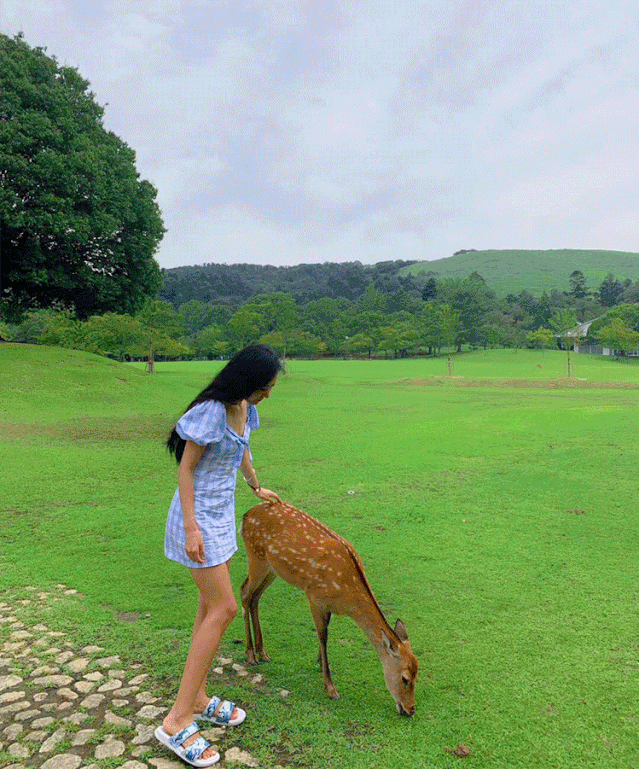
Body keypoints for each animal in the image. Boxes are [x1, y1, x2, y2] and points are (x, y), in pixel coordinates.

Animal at [240, 500, 420, 712]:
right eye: (405, 678)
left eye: (418, 673)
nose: (410, 709)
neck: (347, 600)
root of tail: (244, 517)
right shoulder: (314, 597)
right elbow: (323, 636)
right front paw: (330, 687)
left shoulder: (328, 606)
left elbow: (326, 631)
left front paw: (321, 664)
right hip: (256, 557)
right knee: (244, 593)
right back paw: (251, 655)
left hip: (272, 569)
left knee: (255, 597)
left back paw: (262, 652)